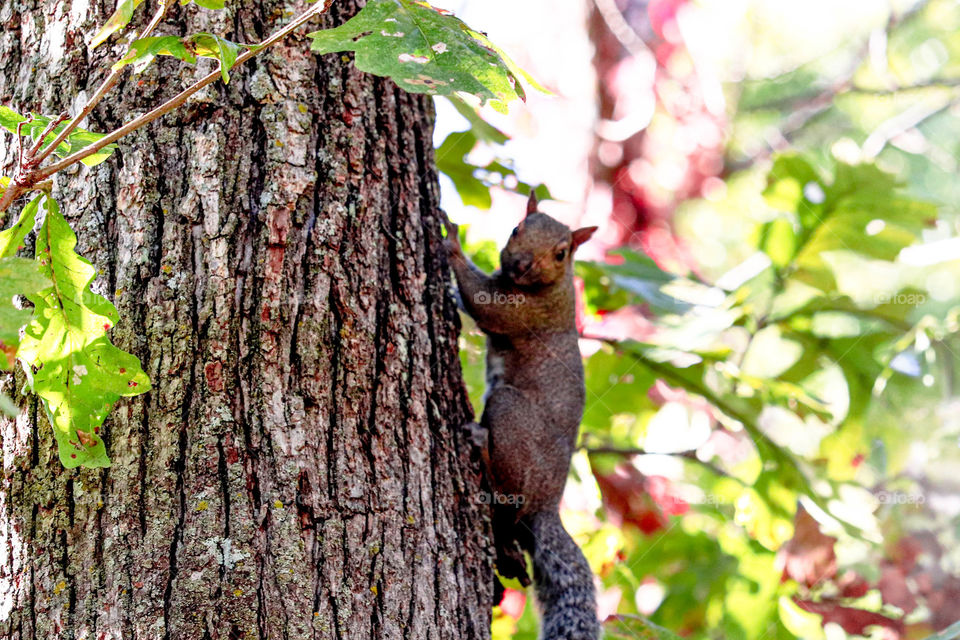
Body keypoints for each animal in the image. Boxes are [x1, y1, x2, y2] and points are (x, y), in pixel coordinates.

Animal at [443, 193, 599, 640]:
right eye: (516, 229)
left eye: (561, 253)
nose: (523, 263)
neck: (554, 286)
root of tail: (546, 505)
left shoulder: (525, 311)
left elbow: (484, 304)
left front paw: (451, 240)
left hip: (509, 411)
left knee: (504, 496)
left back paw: (481, 447)